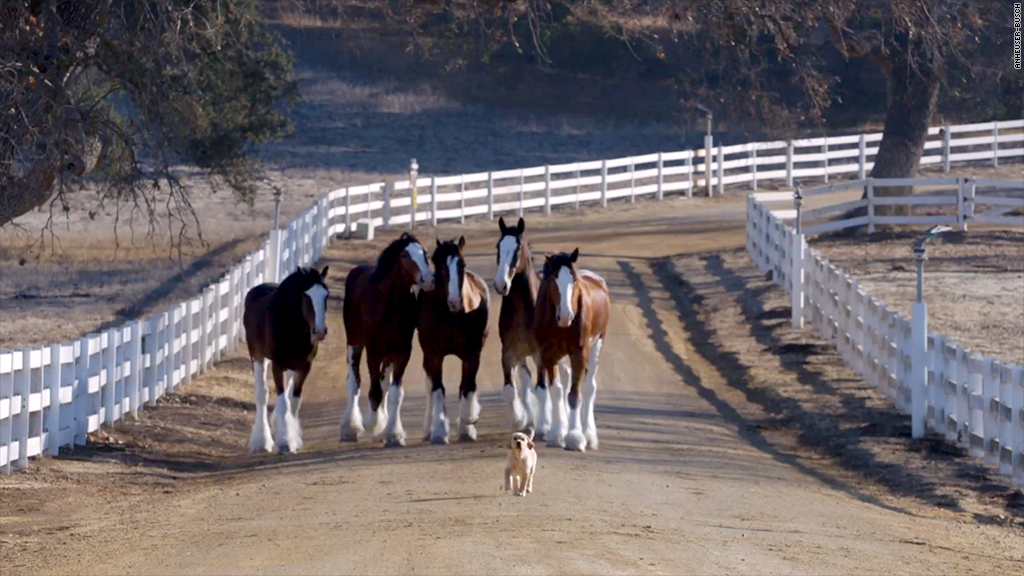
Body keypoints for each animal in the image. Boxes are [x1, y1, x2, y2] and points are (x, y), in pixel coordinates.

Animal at [419, 235, 491, 440]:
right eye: (437, 262)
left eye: (462, 264)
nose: (454, 302)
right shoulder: (433, 355)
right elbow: (437, 389)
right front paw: (439, 430)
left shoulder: (472, 355)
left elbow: (467, 386)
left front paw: (468, 424)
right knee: (429, 385)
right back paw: (429, 428)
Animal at [493, 217, 573, 436]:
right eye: (498, 247)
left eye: (517, 249)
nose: (501, 285)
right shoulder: (508, 352)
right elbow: (510, 389)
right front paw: (519, 420)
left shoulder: (540, 354)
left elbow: (542, 389)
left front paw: (545, 425)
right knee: (526, 379)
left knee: (564, 377)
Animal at [536, 247, 606, 448]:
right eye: (553, 279)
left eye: (574, 280)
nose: (567, 316)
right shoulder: (548, 355)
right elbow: (556, 391)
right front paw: (556, 433)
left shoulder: (578, 354)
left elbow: (574, 394)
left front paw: (575, 436)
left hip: (596, 346)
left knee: (589, 387)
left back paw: (589, 434)